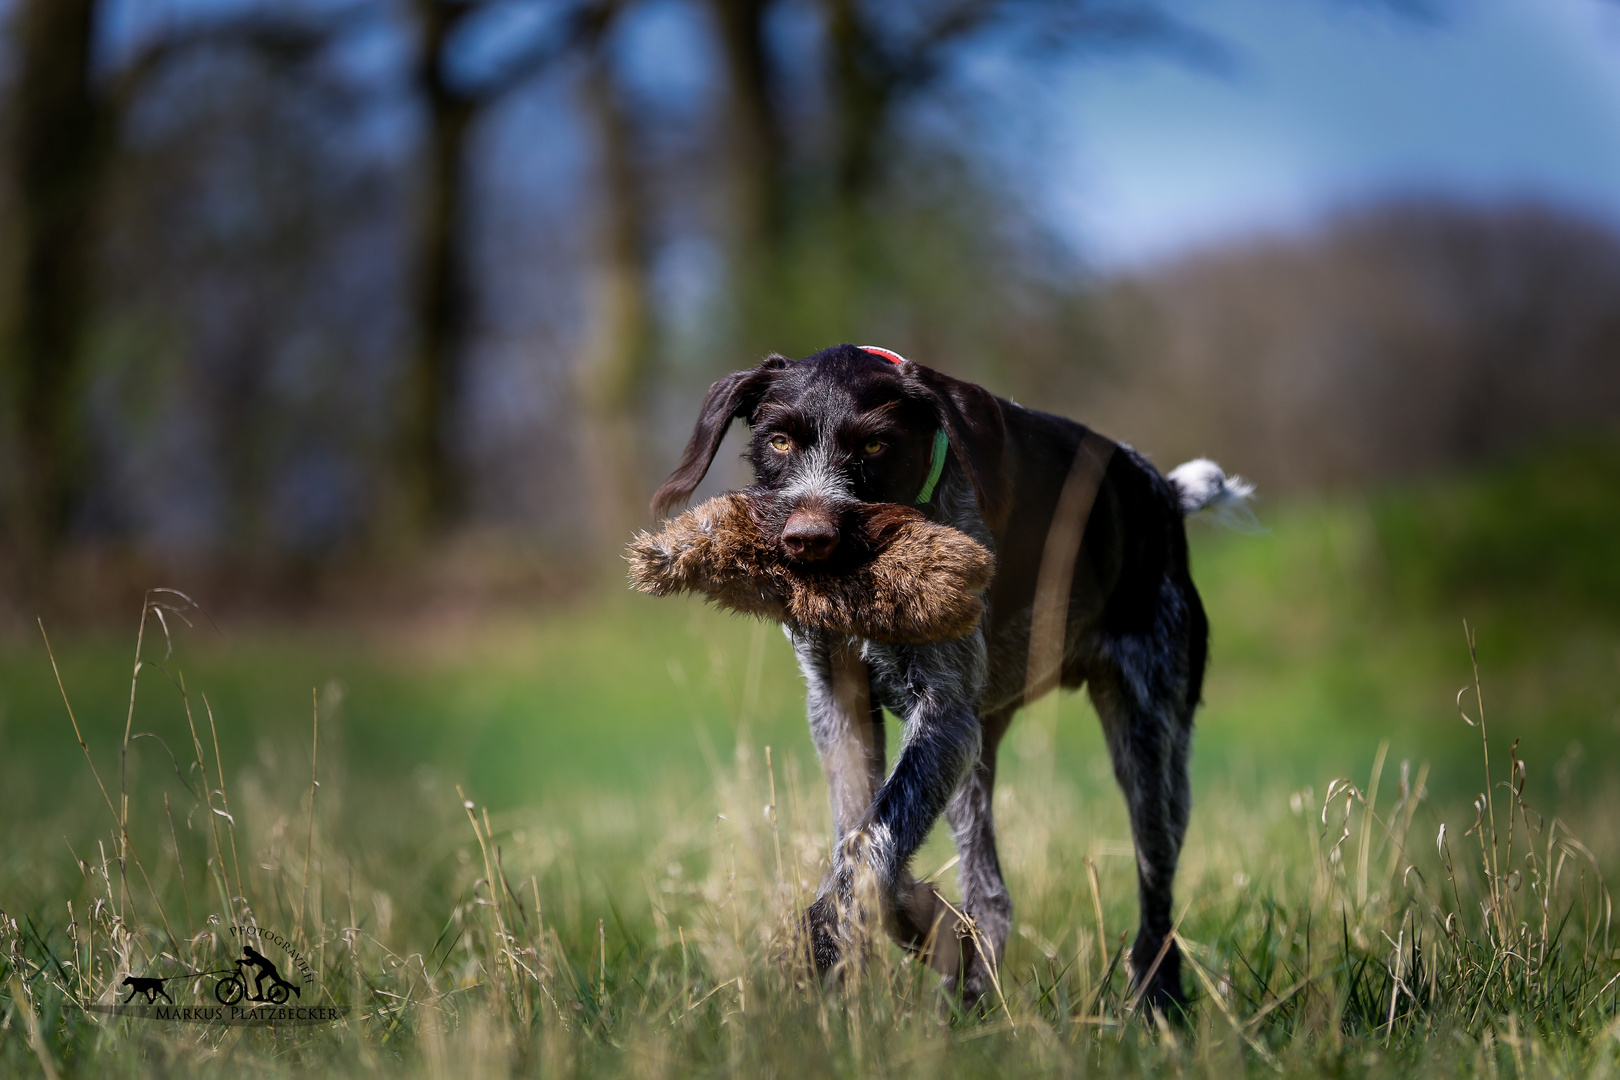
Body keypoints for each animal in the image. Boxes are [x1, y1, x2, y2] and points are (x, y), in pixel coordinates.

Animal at [651, 346, 1257, 1016]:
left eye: (874, 446)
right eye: (779, 440)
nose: (808, 540)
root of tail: (1165, 495)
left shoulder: (941, 718)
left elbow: (868, 844)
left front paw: (826, 943)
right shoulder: (845, 707)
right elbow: (862, 839)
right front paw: (919, 924)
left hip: (1148, 742)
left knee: (1156, 894)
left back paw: (1156, 1001)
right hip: (977, 752)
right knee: (991, 893)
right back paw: (969, 998)